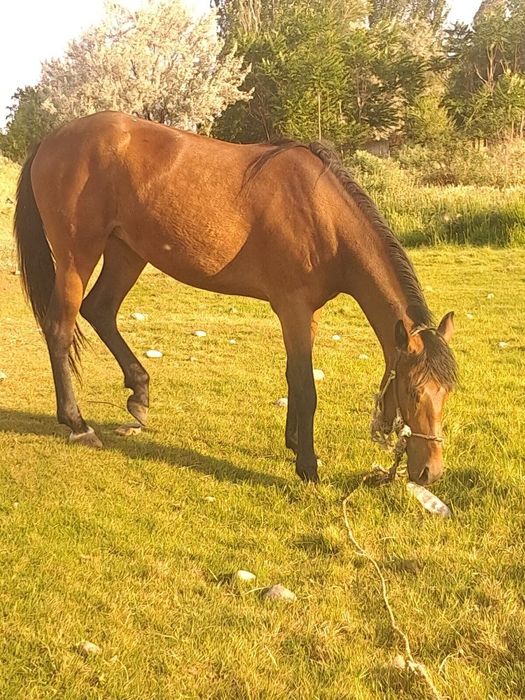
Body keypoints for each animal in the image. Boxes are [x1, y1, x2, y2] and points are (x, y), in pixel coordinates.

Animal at [14, 111, 457, 485]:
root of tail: (51, 138)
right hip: (78, 256)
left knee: (100, 310)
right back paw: (77, 423)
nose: (430, 472)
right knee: (60, 329)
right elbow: (305, 387)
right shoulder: (292, 308)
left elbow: (293, 378)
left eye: (447, 392)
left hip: (127, 252)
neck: (321, 213)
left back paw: (138, 394)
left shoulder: (307, 315)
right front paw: (307, 466)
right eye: (414, 392)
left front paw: (294, 442)